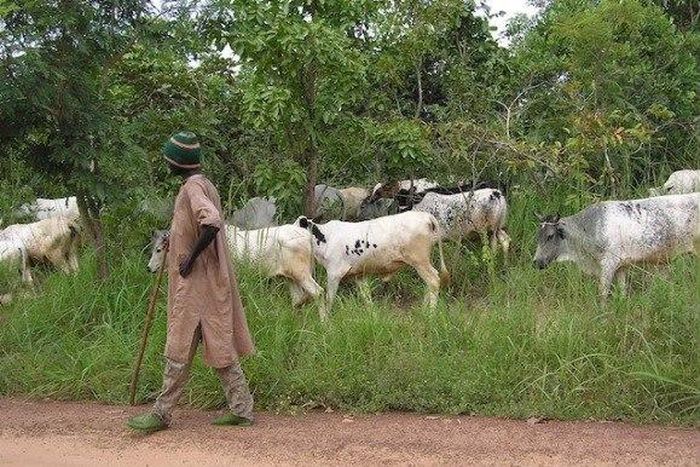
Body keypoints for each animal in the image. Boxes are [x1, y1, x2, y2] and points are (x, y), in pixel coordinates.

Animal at [148, 225, 323, 308]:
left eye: (158, 249)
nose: (149, 268)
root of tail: (307, 236)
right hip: (290, 277)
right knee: (298, 299)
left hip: (302, 274)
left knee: (318, 293)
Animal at [294, 211, 450, 319]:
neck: (325, 238)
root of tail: (425, 215)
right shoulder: (359, 275)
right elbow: (367, 297)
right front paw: (372, 316)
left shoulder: (334, 274)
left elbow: (329, 299)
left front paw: (326, 318)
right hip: (421, 262)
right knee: (430, 282)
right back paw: (424, 309)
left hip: (419, 261)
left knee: (433, 280)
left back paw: (431, 313)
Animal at [533, 193, 700, 299]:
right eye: (538, 236)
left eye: (550, 236)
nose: (536, 262)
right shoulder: (622, 266)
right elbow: (622, 290)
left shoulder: (608, 264)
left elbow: (603, 293)